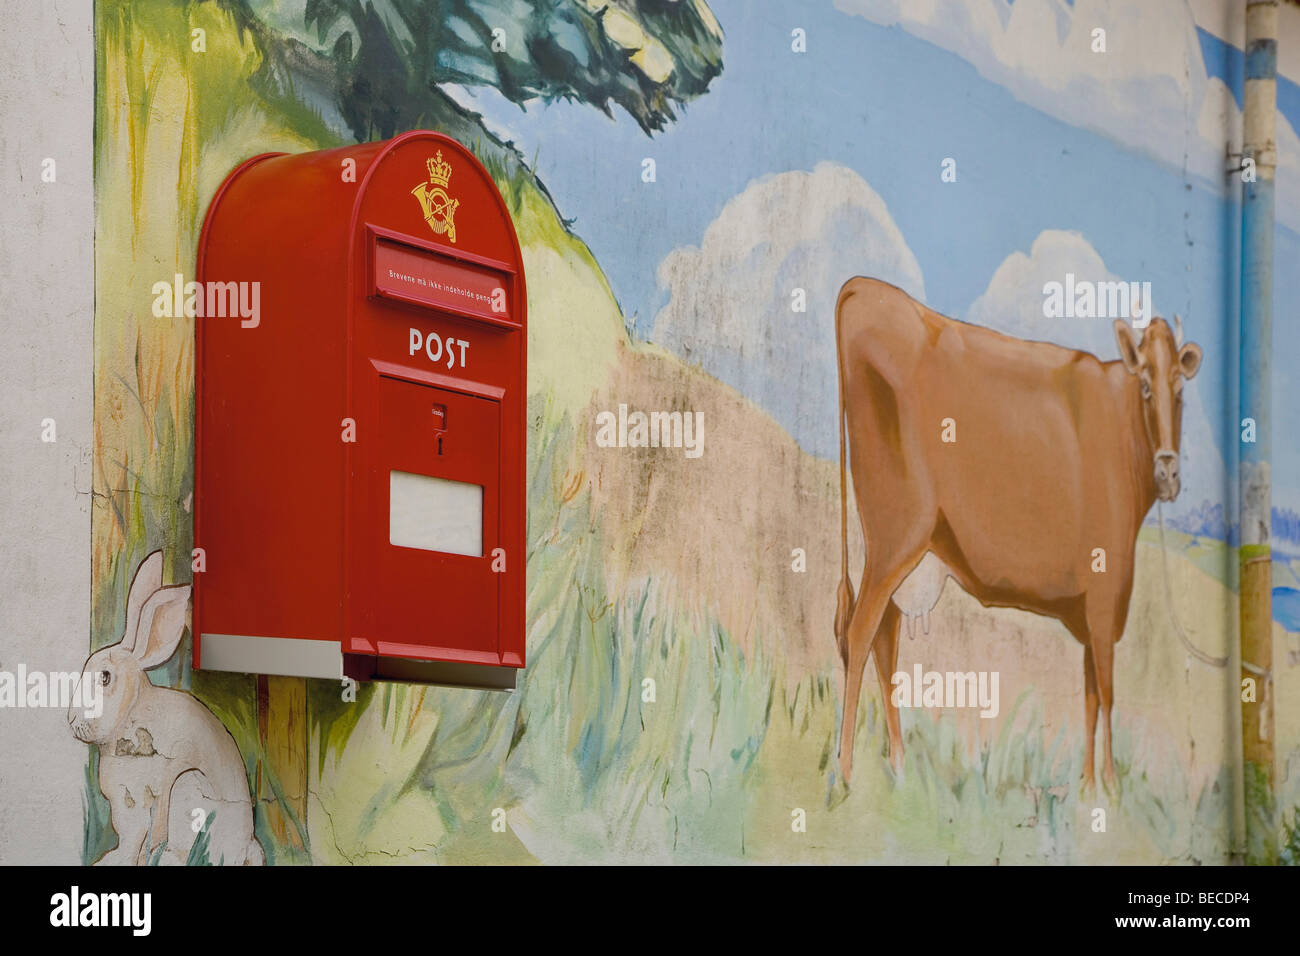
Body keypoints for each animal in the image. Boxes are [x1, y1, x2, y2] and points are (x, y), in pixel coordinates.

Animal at [837, 277, 1201, 790]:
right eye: (1146, 388)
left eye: (1180, 393)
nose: (1168, 473)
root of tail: (863, 288)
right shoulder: (1107, 593)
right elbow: (1109, 690)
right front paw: (1112, 786)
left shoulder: (1090, 606)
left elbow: (1090, 691)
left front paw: (1088, 786)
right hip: (895, 539)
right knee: (860, 632)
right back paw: (845, 772)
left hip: (897, 553)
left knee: (883, 639)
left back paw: (899, 767)